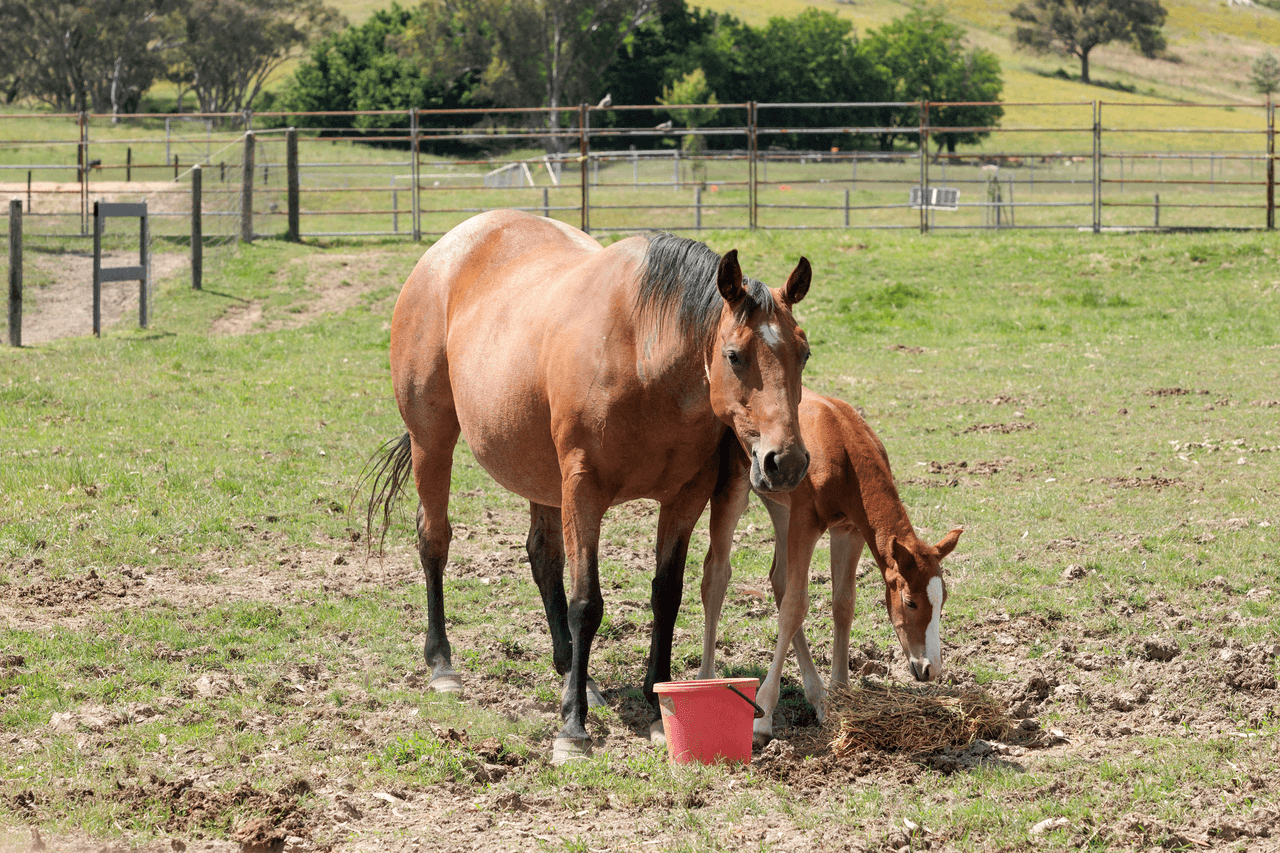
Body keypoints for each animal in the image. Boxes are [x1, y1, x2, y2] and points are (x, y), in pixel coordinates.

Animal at [366, 208, 814, 758]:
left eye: (803, 353)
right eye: (734, 355)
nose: (785, 462)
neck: (643, 353)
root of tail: (446, 249)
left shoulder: (684, 498)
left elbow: (666, 594)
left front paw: (656, 710)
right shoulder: (583, 489)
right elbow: (586, 603)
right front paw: (573, 729)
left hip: (540, 475)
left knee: (542, 557)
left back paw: (576, 678)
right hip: (432, 440)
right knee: (434, 539)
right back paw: (444, 665)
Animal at [701, 389, 962, 742]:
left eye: (942, 600)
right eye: (910, 602)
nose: (930, 668)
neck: (842, 442)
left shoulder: (849, 531)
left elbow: (843, 604)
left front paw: (840, 693)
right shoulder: (805, 522)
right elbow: (796, 607)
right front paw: (763, 716)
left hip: (779, 506)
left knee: (779, 579)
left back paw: (818, 696)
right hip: (735, 490)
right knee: (717, 575)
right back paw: (707, 678)